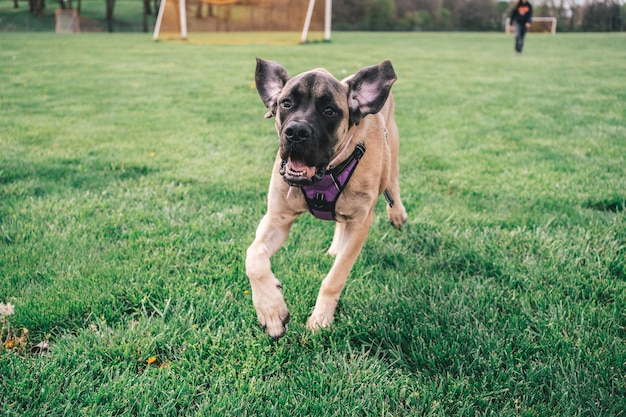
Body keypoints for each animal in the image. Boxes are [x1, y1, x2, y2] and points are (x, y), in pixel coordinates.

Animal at [244, 58, 404, 338]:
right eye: (286, 103)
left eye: (330, 111)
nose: (296, 132)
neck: (323, 175)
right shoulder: (277, 217)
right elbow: (253, 256)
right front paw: (271, 311)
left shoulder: (360, 223)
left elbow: (335, 278)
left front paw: (320, 318)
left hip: (392, 148)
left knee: (392, 181)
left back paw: (397, 213)